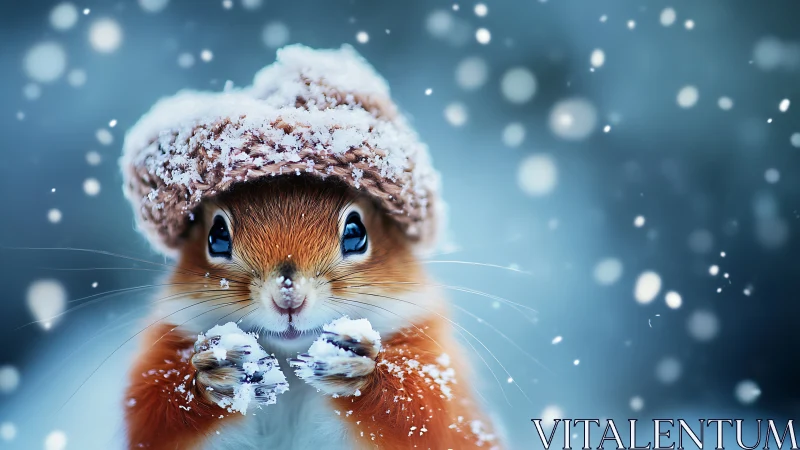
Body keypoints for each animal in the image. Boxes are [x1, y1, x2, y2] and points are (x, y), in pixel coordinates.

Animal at [120, 45, 502, 449]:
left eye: (356, 232)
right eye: (216, 236)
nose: (289, 297)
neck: (289, 362)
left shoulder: (437, 367)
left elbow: (426, 413)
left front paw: (354, 363)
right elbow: (154, 411)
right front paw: (217, 367)